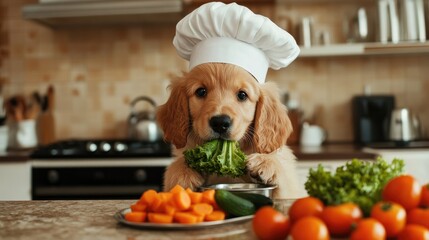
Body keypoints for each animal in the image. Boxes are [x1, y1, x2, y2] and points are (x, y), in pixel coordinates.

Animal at [156, 63, 300, 199]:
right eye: (201, 91)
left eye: (242, 95)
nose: (220, 123)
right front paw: (183, 172)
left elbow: (286, 185)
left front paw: (265, 162)